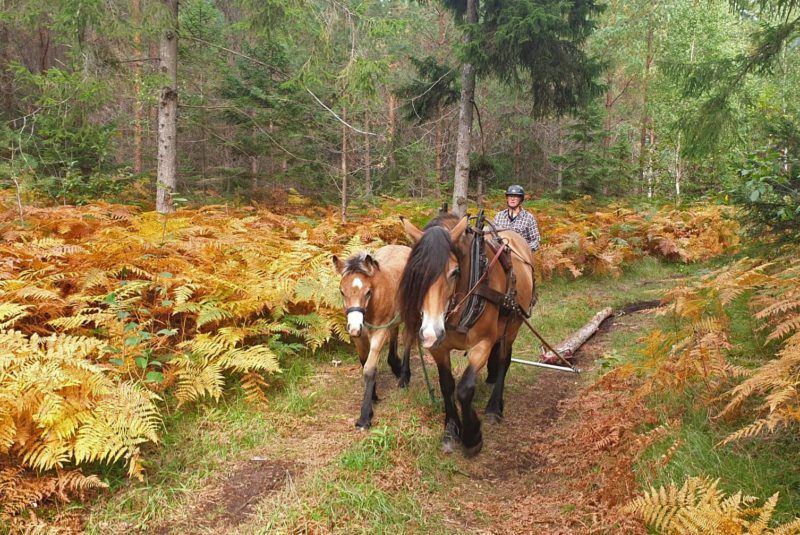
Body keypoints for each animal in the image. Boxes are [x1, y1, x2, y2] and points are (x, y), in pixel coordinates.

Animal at [332, 246, 412, 432]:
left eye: (368, 292)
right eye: (342, 291)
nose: (354, 327)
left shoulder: (379, 332)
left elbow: (369, 369)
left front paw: (364, 417)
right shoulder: (359, 337)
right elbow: (364, 363)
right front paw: (374, 395)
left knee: (408, 339)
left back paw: (404, 377)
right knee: (395, 332)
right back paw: (396, 366)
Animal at [398, 214, 536, 456]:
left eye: (454, 272)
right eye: (416, 272)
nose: (429, 333)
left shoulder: (482, 343)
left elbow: (464, 389)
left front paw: (472, 436)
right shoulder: (439, 348)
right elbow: (447, 385)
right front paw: (451, 429)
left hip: (514, 324)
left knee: (504, 360)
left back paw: (494, 407)